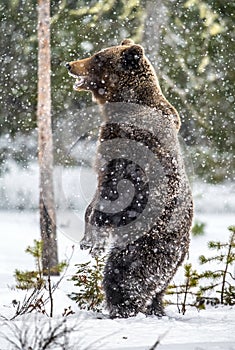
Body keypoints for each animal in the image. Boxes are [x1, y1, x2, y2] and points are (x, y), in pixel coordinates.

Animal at [66, 38, 193, 318]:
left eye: (98, 57)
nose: (70, 64)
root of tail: (182, 248)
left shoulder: (129, 148)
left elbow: (111, 192)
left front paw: (93, 240)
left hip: (144, 246)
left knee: (124, 276)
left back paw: (119, 309)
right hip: (168, 266)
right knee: (157, 290)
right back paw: (156, 309)